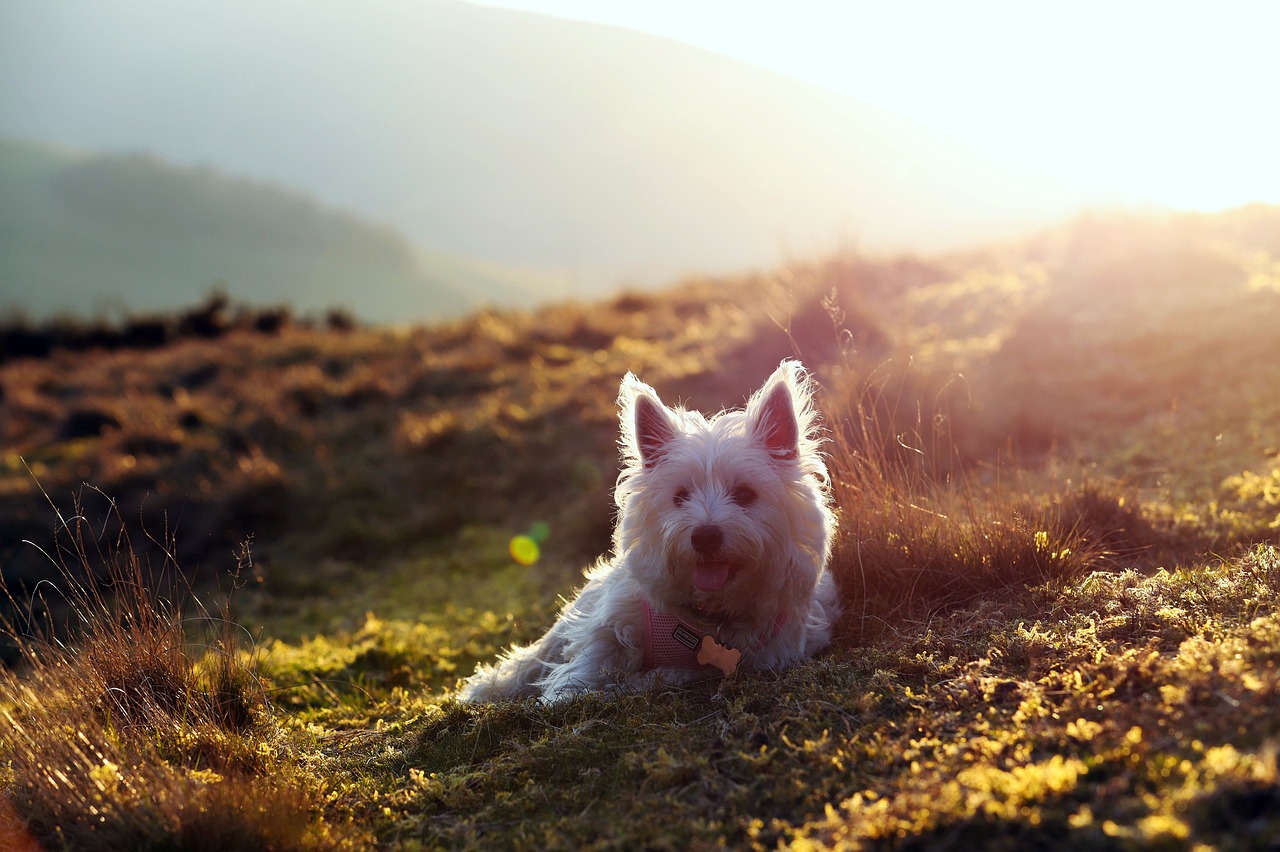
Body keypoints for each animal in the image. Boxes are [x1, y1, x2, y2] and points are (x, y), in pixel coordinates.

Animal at [460, 360, 839, 701]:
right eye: (680, 496)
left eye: (745, 494)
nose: (704, 537)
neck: (709, 619)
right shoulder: (612, 617)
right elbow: (592, 657)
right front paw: (565, 694)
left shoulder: (763, 654)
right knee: (536, 654)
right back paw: (485, 689)